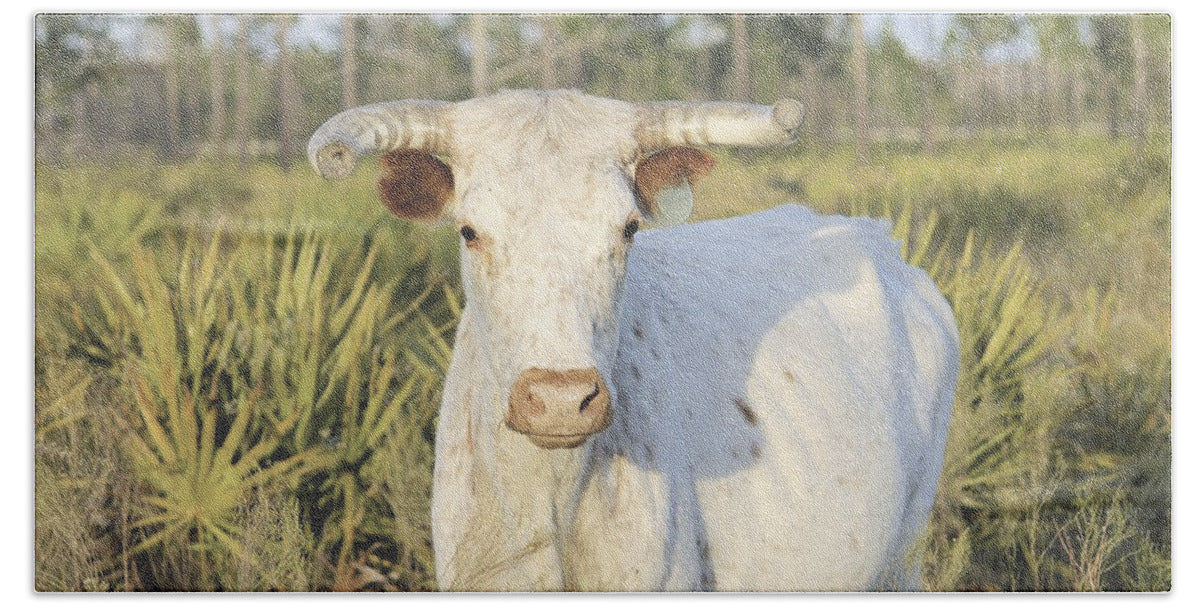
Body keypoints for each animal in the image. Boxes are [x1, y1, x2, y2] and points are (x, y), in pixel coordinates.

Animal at [308, 90, 960, 591]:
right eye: (469, 231)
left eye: (627, 228)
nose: (560, 400)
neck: (555, 498)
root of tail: (879, 240)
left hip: (905, 555)